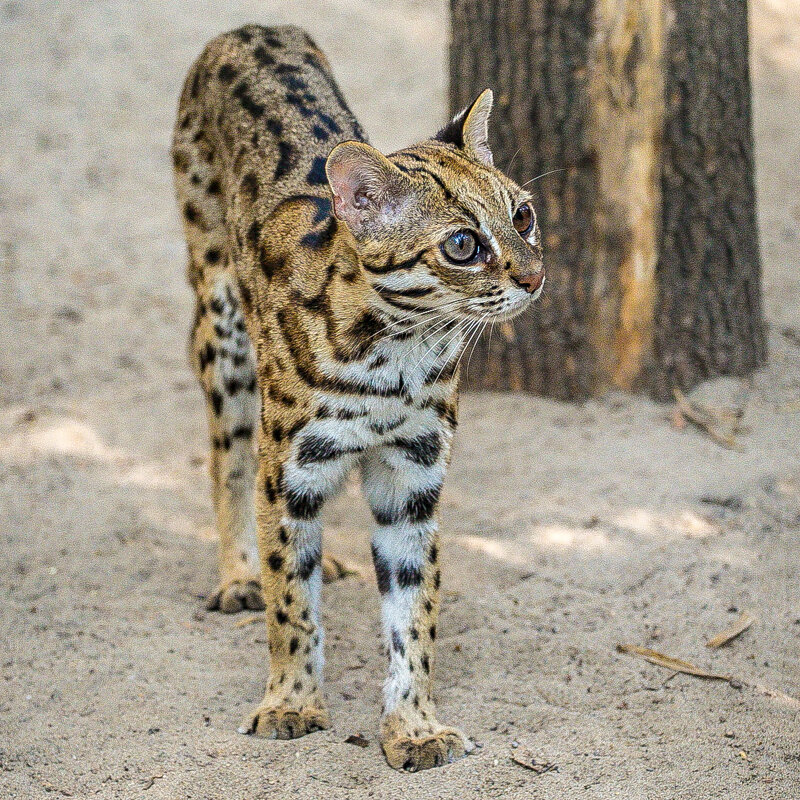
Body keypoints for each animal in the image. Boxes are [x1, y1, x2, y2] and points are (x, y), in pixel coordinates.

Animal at [173, 23, 548, 776]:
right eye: (462, 245)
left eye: (523, 215)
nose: (535, 275)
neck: (396, 356)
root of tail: (250, 27)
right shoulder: (288, 473)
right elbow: (290, 603)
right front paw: (290, 701)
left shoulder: (412, 476)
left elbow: (415, 615)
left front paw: (413, 724)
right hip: (222, 330)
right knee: (225, 460)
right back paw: (238, 570)